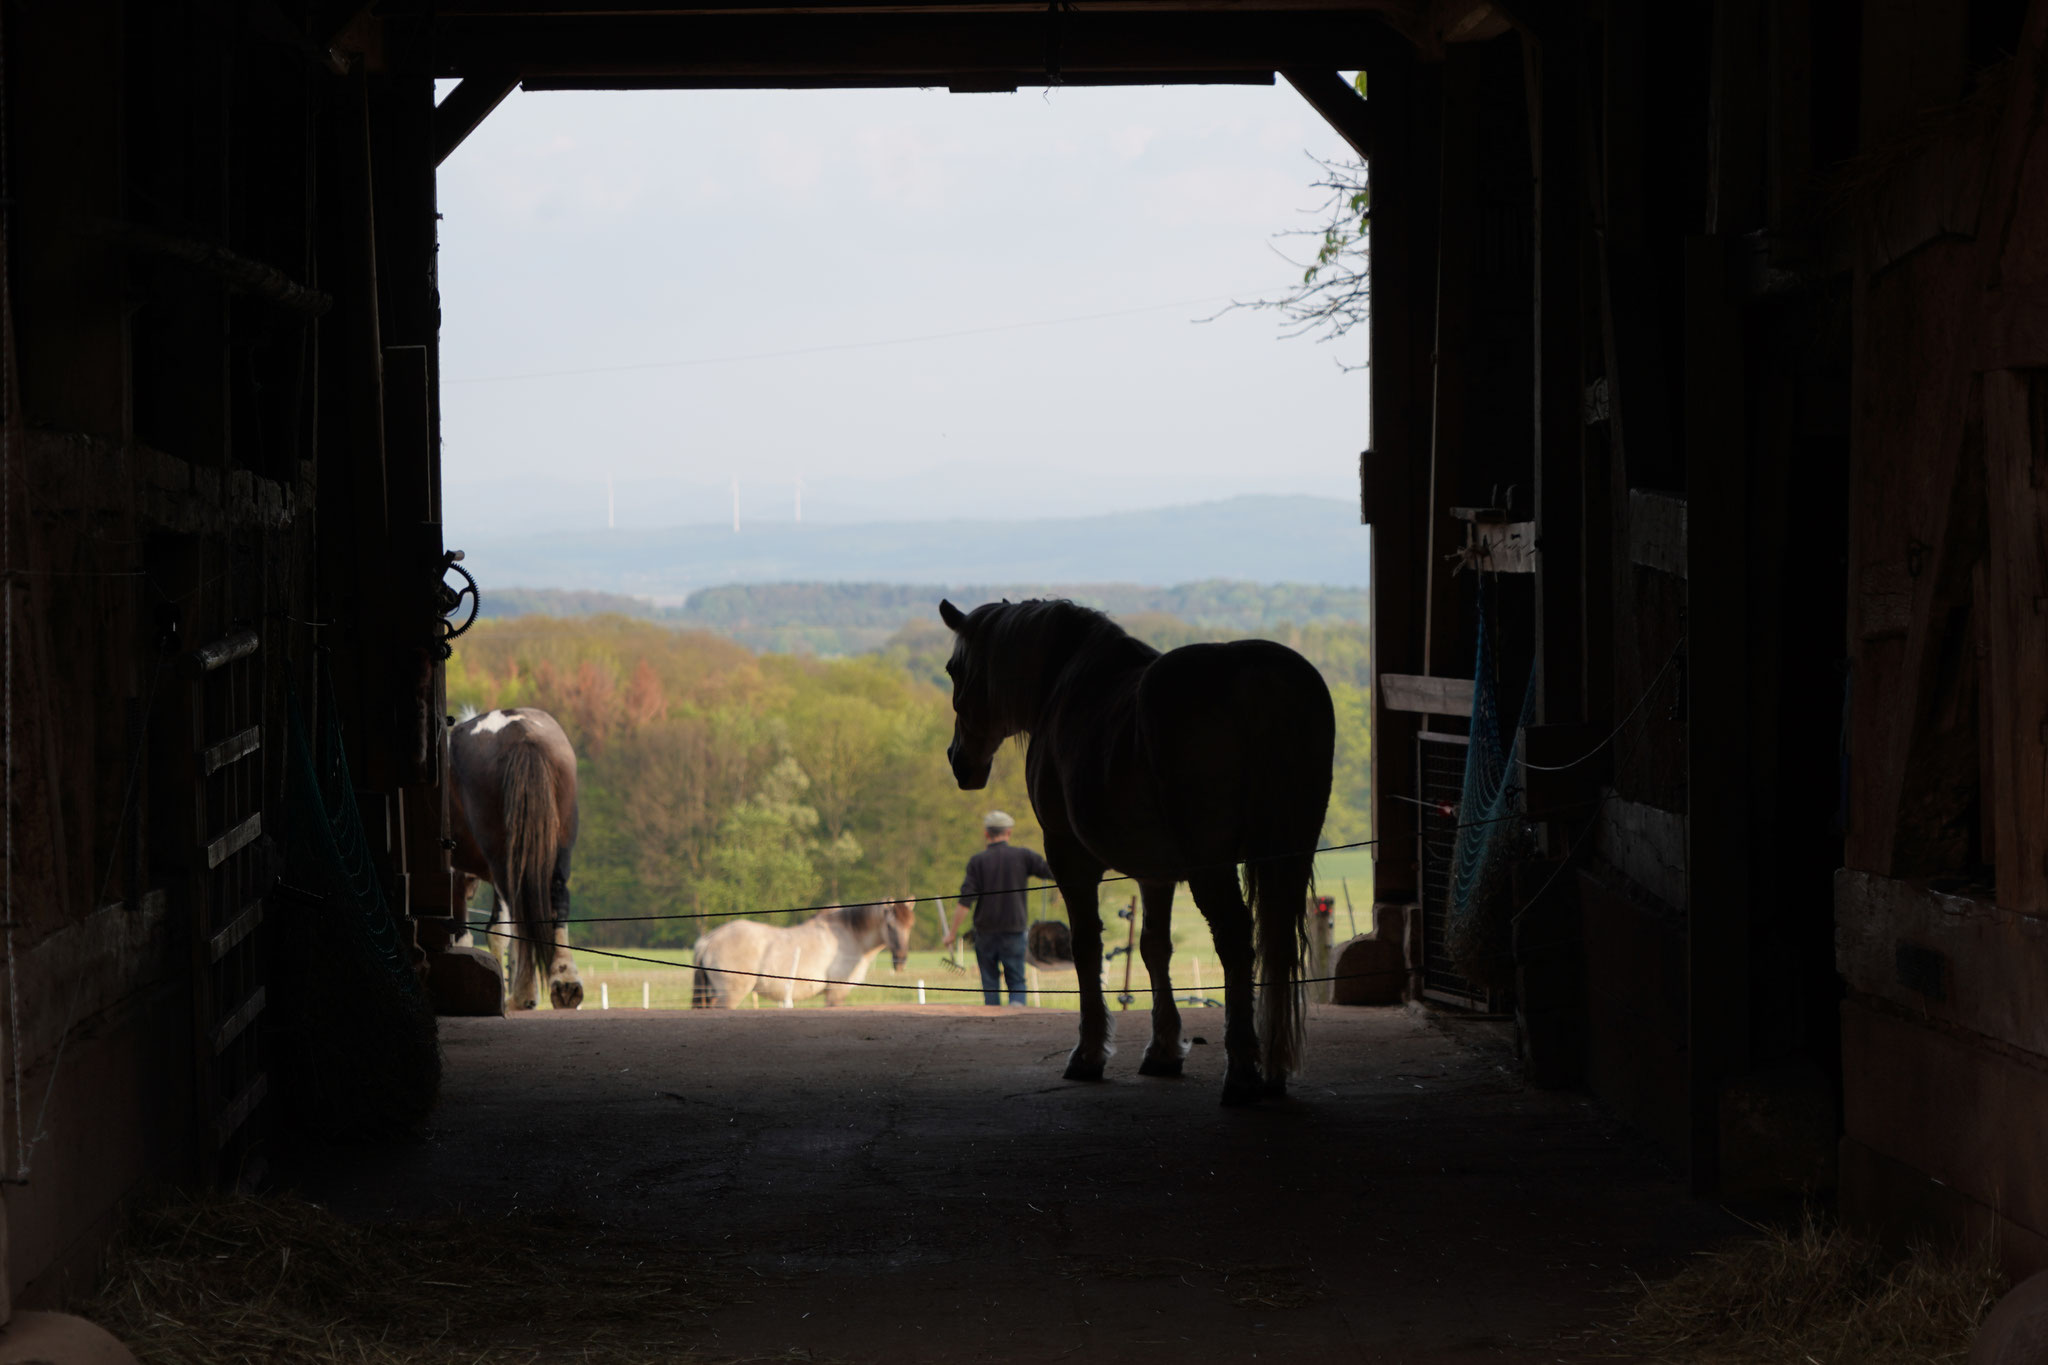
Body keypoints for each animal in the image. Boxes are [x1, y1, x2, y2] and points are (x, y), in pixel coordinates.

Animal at [452, 712, 589, 1010]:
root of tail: (521, 733)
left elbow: (466, 934)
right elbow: (497, 931)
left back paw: (523, 993)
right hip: (556, 849)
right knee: (557, 899)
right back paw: (565, 982)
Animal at [692, 900, 917, 1010]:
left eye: (910, 925)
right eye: (890, 926)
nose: (901, 961)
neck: (849, 934)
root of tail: (709, 939)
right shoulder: (836, 993)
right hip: (730, 995)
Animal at [937, 601, 1335, 1113]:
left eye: (954, 669)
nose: (958, 760)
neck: (1064, 684)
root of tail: (1256, 676)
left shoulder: (1069, 857)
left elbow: (1087, 947)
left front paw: (1089, 1053)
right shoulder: (1156, 873)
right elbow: (1153, 948)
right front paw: (1163, 1050)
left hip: (1213, 866)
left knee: (1235, 942)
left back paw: (1242, 1074)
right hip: (1288, 855)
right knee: (1278, 945)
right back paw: (1273, 1072)